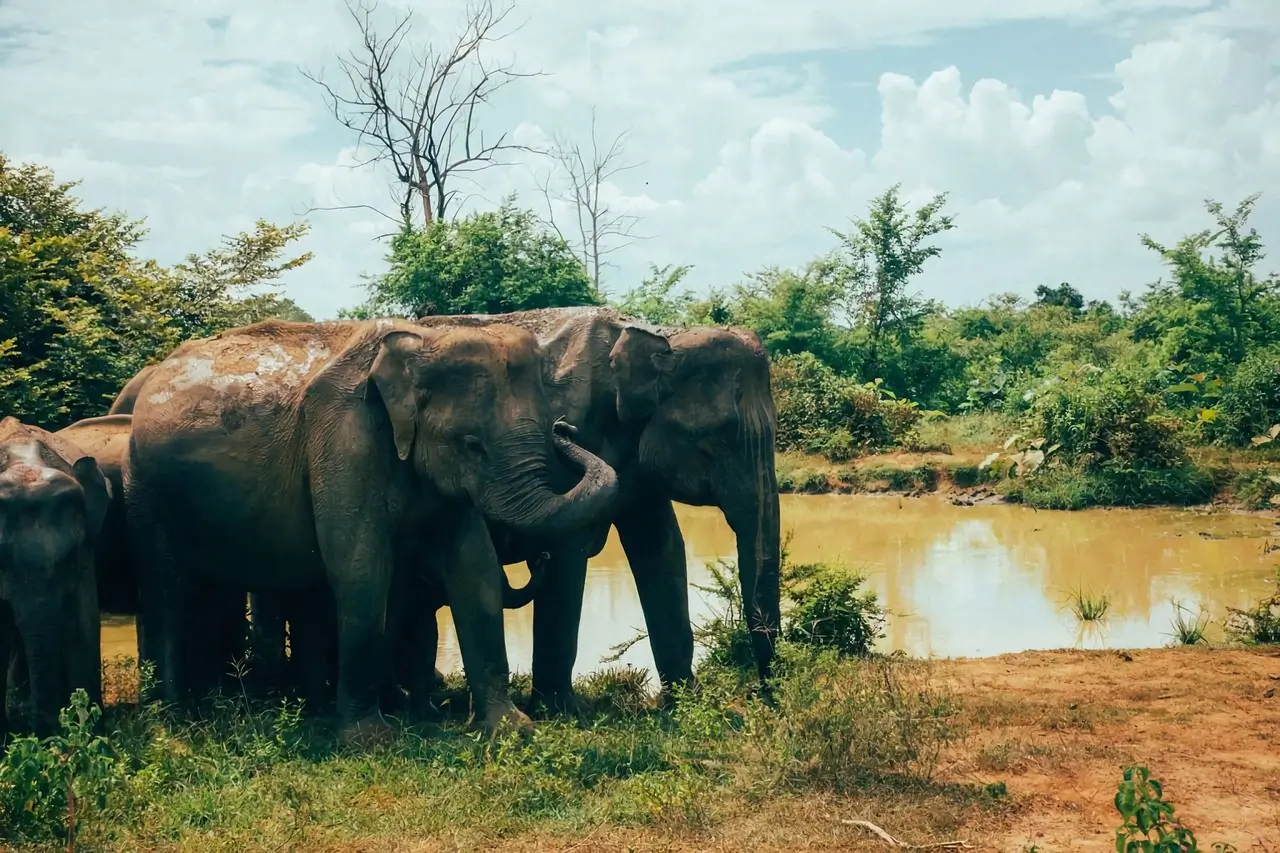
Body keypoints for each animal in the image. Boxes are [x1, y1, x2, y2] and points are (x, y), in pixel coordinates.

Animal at [0, 417, 111, 736]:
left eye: (69, 556)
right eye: (1, 559)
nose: (47, 726)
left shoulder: (87, 547)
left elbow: (83, 621)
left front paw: (93, 733)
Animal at [120, 317, 619, 743]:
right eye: (470, 444)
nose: (565, 428)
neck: (422, 342)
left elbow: (473, 567)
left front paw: (511, 730)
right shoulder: (343, 437)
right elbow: (361, 566)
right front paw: (371, 741)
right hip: (144, 484)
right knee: (166, 589)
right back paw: (173, 725)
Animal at [406, 307, 781, 715]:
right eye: (717, 438)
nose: (765, 699)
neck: (657, 334)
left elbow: (661, 547)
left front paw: (684, 704)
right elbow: (567, 550)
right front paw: (561, 712)